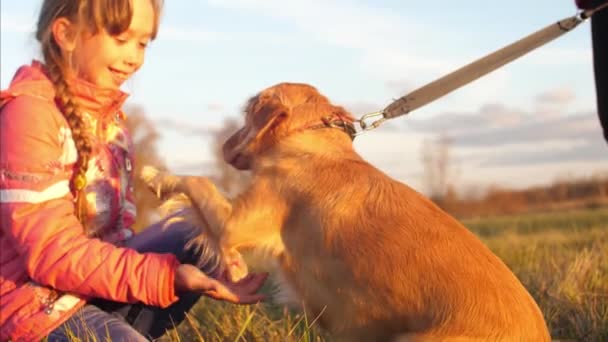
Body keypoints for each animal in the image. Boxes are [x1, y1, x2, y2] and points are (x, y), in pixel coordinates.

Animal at [144, 83, 552, 342]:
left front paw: (155, 176)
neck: (315, 141)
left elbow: (197, 181)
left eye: (246, 115)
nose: (224, 143)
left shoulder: (234, 223)